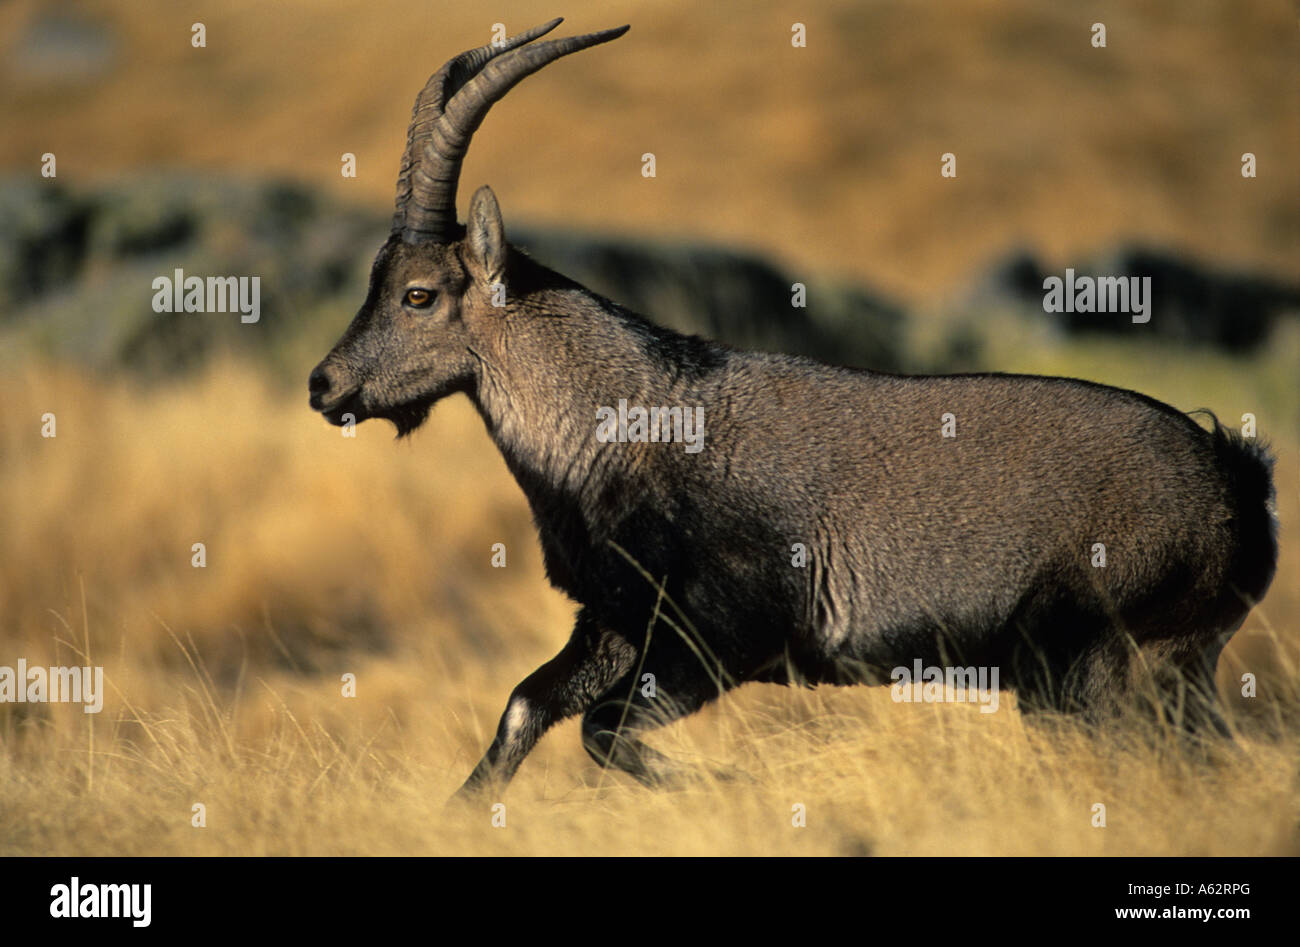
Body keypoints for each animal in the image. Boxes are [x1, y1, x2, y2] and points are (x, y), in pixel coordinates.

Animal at [306, 18, 1279, 796]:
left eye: (420, 294)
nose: (325, 384)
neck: (622, 423)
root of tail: (1234, 481)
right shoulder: (616, 620)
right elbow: (524, 708)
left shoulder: (722, 637)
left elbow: (602, 730)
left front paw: (740, 784)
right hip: (1159, 670)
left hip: (1098, 664)